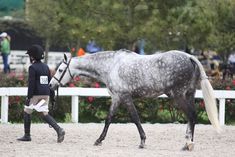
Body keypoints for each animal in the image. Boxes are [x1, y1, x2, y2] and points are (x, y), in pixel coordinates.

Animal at [48, 49, 220, 150]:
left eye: (61, 70)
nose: (51, 85)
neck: (111, 65)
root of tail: (190, 57)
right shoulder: (116, 98)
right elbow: (109, 119)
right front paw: (99, 140)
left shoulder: (124, 97)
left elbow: (135, 118)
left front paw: (142, 141)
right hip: (189, 95)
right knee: (192, 117)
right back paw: (187, 143)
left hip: (177, 95)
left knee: (191, 115)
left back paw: (188, 143)